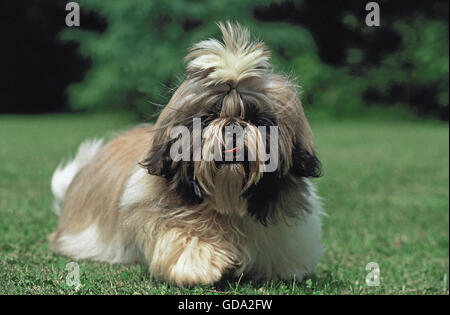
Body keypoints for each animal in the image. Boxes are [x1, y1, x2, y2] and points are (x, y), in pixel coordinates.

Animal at [49, 21, 324, 286]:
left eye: (257, 119)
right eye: (209, 117)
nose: (233, 125)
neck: (229, 201)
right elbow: (183, 236)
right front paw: (200, 265)